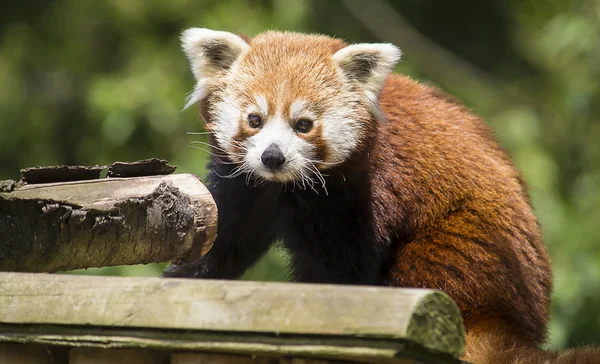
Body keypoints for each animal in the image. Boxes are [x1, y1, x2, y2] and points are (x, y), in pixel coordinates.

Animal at [164, 28, 600, 364]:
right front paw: (181, 278)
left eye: (303, 124)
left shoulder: (359, 194)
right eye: (254, 119)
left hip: (467, 253)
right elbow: (226, 239)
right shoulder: (247, 185)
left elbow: (342, 271)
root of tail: (517, 322)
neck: (286, 186)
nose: (273, 156)